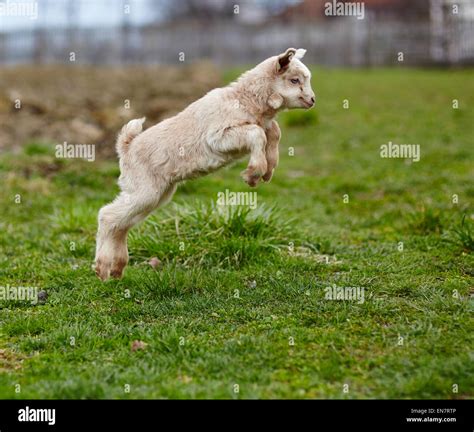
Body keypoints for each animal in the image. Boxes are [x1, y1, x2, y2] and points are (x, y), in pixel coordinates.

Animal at [95, 49, 314, 282]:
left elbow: (273, 132)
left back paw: (117, 269)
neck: (243, 100)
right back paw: (102, 268)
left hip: (155, 193)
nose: (312, 100)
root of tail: (126, 146)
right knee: (107, 215)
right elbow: (257, 134)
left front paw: (268, 169)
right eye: (294, 80)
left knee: (121, 223)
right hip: (143, 188)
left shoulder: (263, 124)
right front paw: (253, 174)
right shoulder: (217, 136)